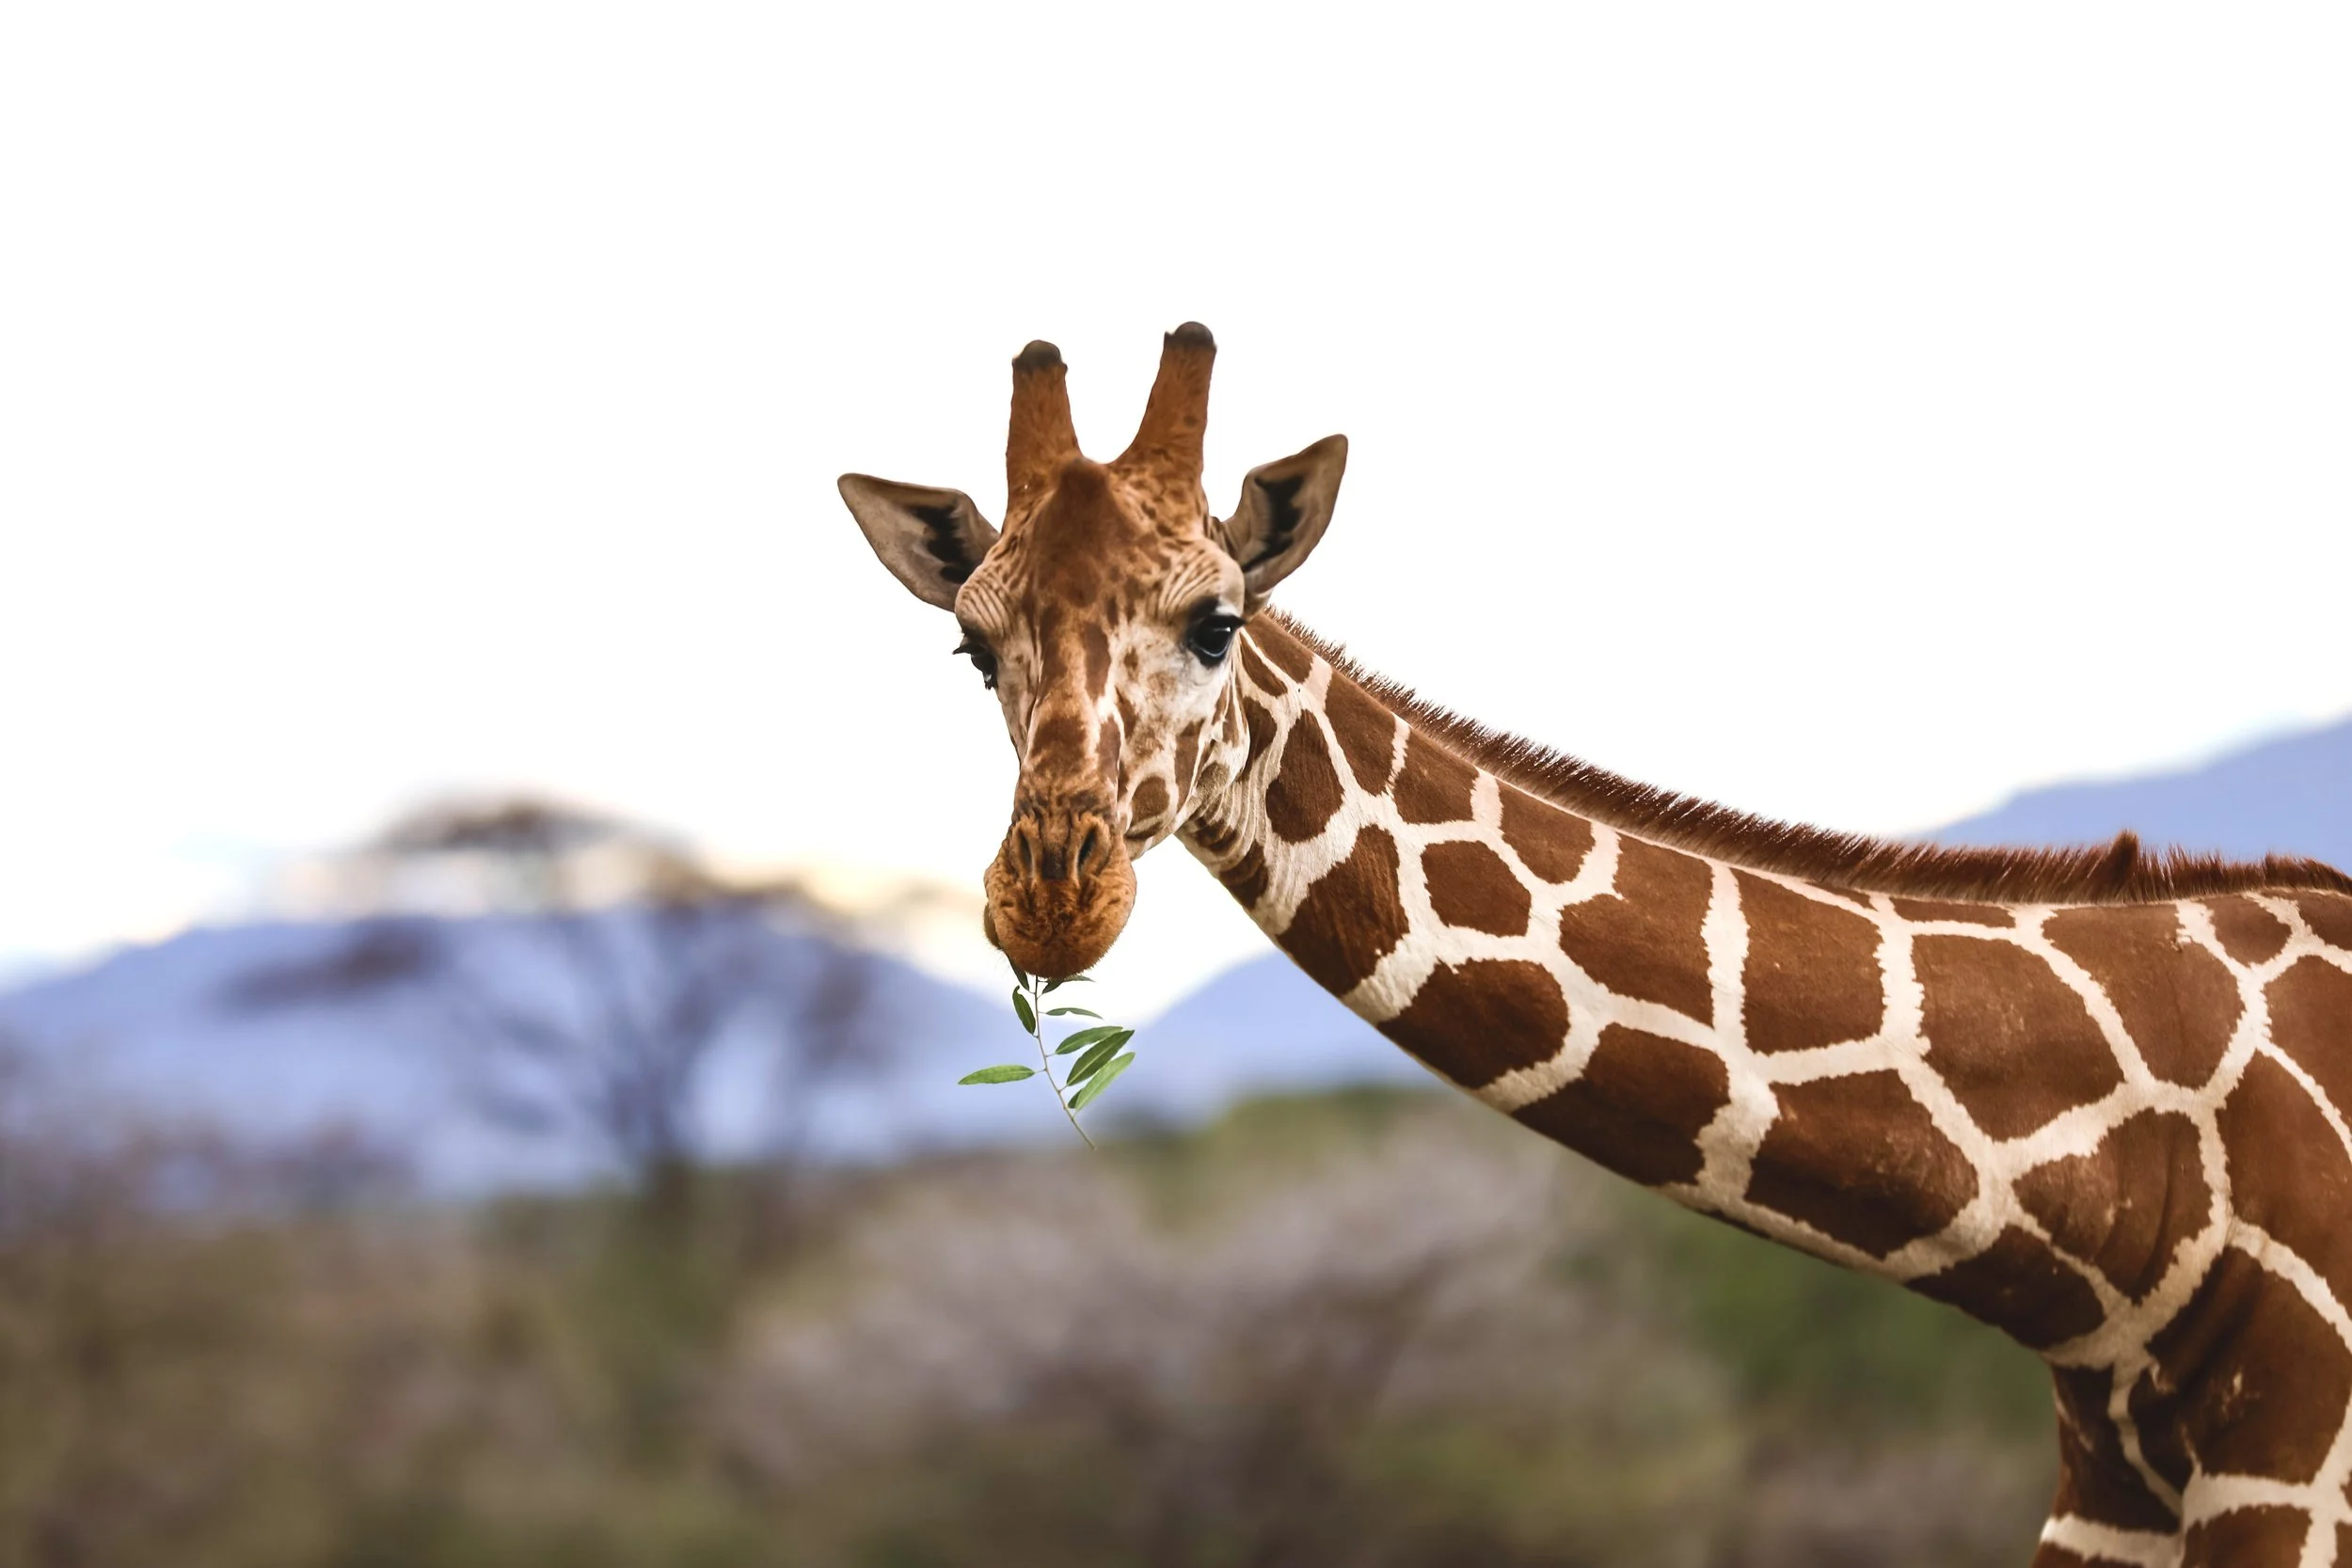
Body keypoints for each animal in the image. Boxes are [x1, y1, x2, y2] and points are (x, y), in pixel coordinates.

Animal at [838, 325, 2352, 1567]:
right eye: (974, 648)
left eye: (1218, 622)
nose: (1052, 899)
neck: (2126, 1244)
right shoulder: (2111, 1503)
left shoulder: (2289, 1479)